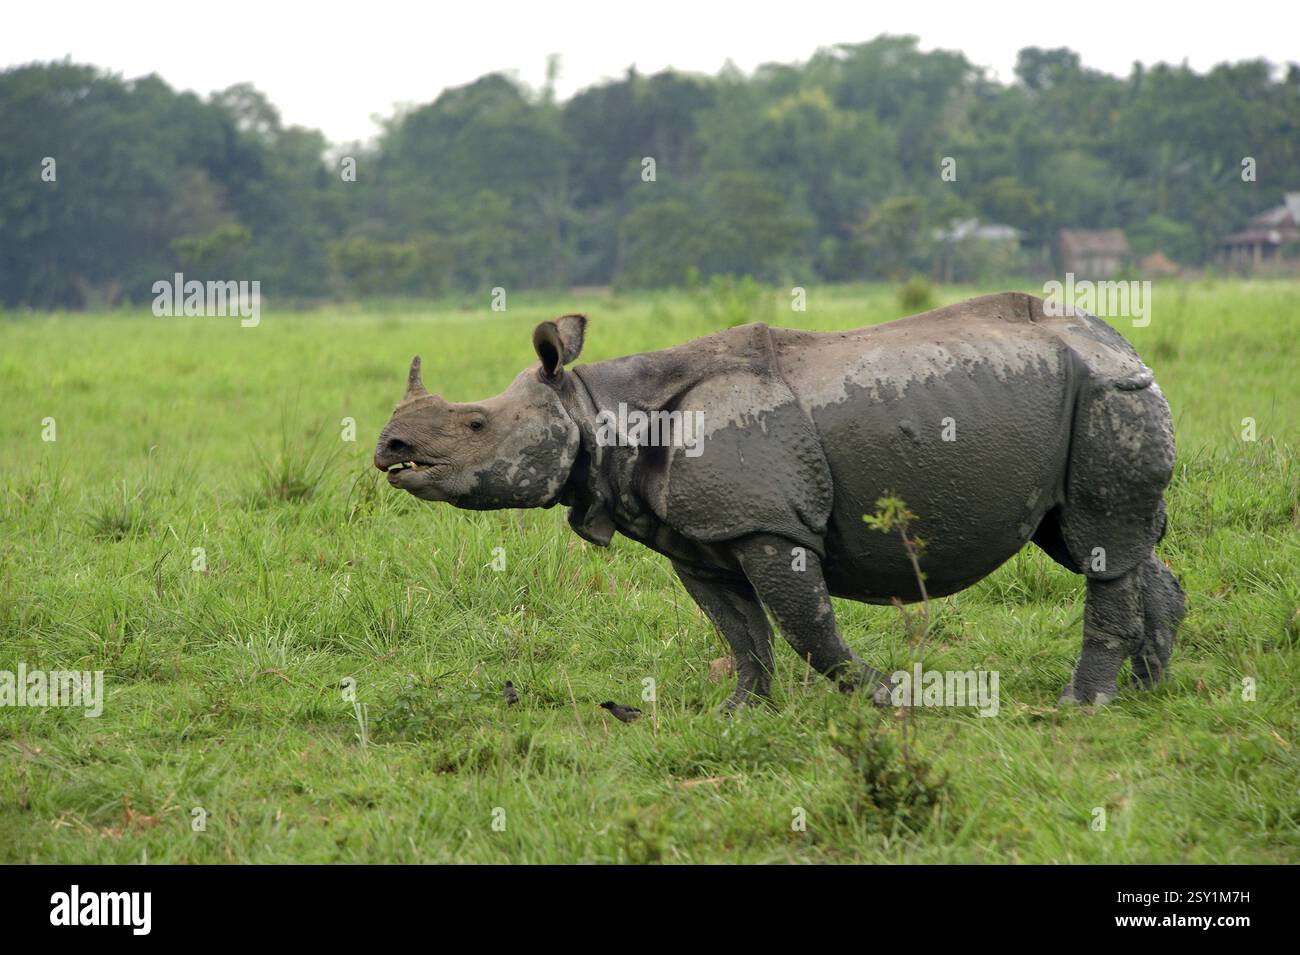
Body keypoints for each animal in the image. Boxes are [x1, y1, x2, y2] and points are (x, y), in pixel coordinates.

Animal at [374, 292, 1184, 709]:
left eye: (476, 424)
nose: (388, 447)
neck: (597, 407)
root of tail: (1121, 339)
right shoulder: (696, 538)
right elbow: (741, 631)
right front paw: (743, 714)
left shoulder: (767, 524)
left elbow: (805, 625)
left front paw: (890, 698)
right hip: (1081, 394)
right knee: (1094, 541)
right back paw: (1149, 690)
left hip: (1108, 391)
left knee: (1100, 541)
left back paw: (1082, 706)